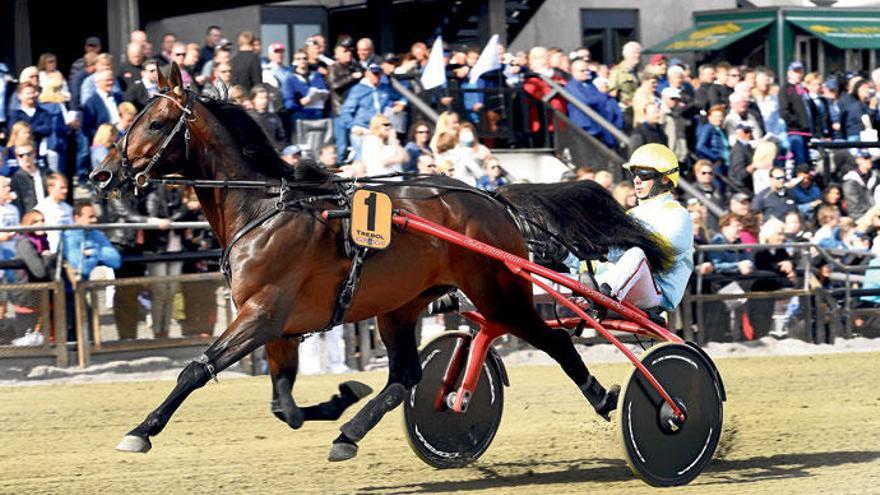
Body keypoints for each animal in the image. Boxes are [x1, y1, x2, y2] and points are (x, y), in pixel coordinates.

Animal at [93, 64, 672, 464]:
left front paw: (140, 431)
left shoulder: (262, 314)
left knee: (554, 340)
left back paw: (617, 398)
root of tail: (491, 196)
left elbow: (196, 369)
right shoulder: (279, 327)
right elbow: (284, 406)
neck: (265, 209)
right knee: (405, 377)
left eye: (158, 122)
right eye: (132, 118)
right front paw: (341, 397)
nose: (101, 176)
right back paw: (349, 433)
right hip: (401, 305)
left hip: (499, 292)